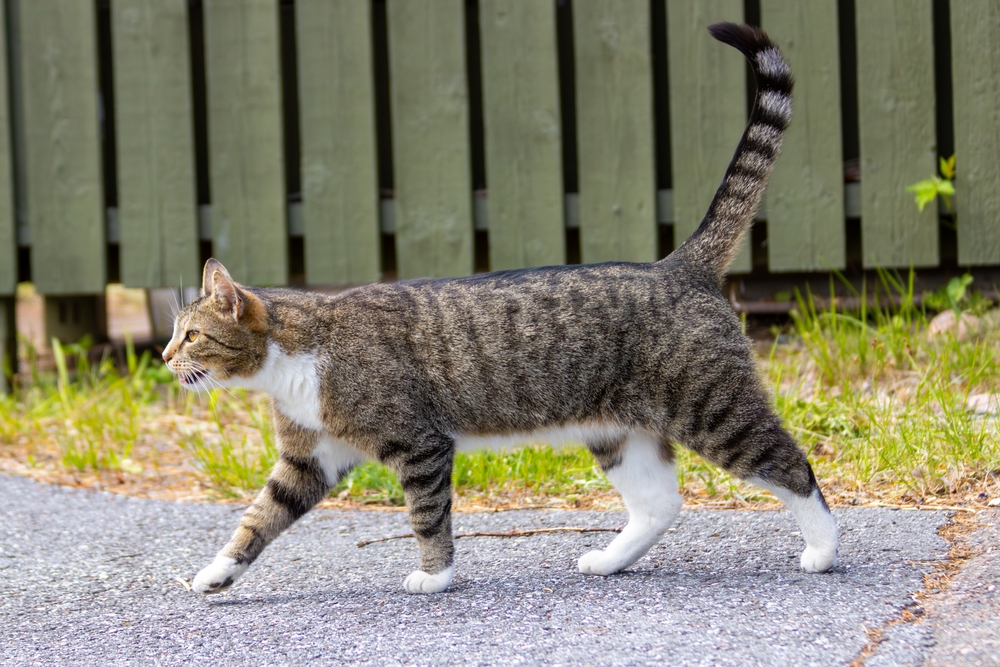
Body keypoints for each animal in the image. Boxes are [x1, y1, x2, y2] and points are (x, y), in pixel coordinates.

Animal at [166, 20, 836, 596]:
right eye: (175, 334)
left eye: (193, 335)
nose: (166, 356)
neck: (297, 359)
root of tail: (676, 264)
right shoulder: (308, 461)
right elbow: (257, 518)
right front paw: (216, 574)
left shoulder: (420, 445)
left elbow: (427, 516)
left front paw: (434, 576)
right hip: (618, 431)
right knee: (661, 504)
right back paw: (609, 560)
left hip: (713, 409)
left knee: (793, 466)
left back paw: (823, 551)